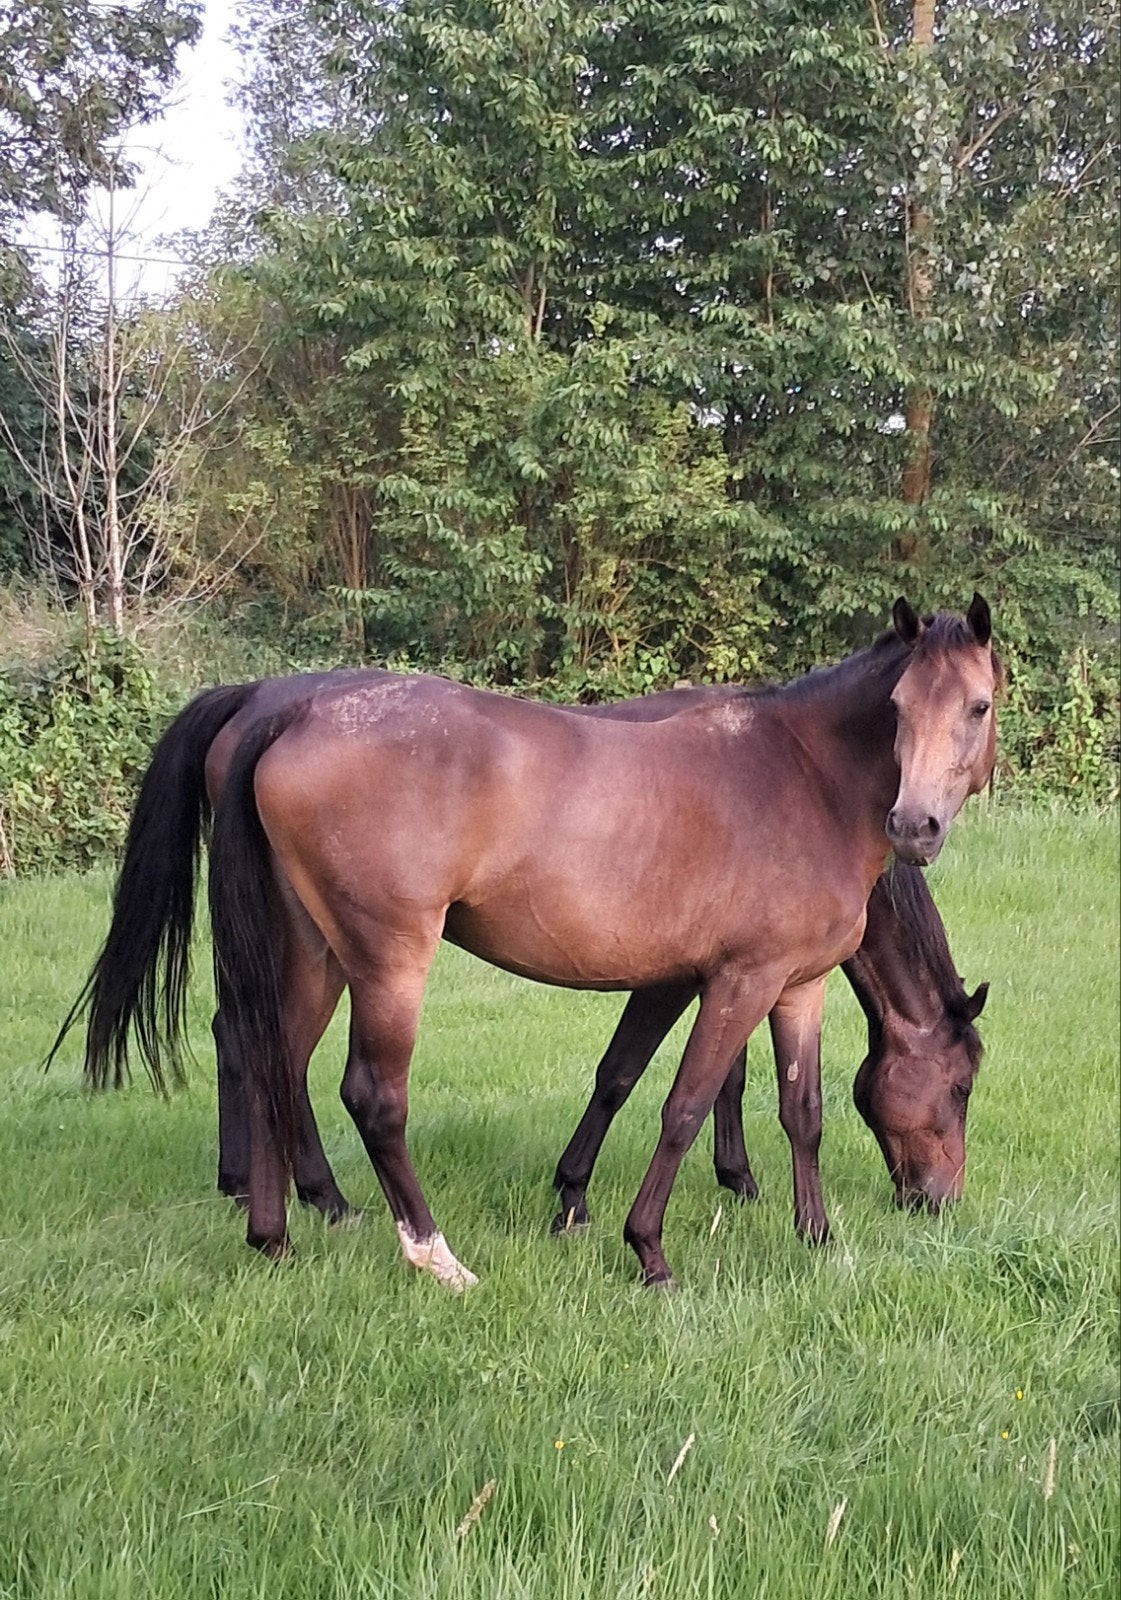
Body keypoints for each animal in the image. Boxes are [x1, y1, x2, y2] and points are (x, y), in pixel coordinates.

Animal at [203, 596, 997, 1285]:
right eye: (897, 708)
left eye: (978, 706)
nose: (915, 826)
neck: (807, 776)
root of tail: (290, 714)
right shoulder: (738, 980)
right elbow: (682, 1104)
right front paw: (648, 1249)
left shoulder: (792, 985)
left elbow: (800, 1113)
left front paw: (818, 1239)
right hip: (388, 963)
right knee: (372, 1097)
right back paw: (435, 1258)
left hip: (314, 951)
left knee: (275, 1061)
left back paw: (274, 1236)